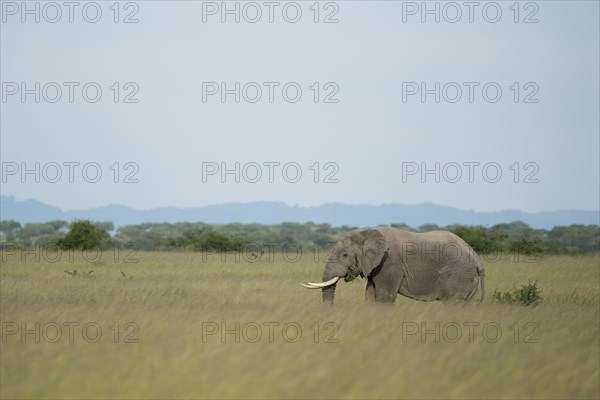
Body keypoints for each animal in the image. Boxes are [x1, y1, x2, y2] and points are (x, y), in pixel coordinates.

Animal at [302, 228, 486, 304]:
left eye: (345, 255)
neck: (367, 231)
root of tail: (477, 259)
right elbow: (370, 296)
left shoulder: (389, 263)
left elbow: (384, 297)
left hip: (458, 275)